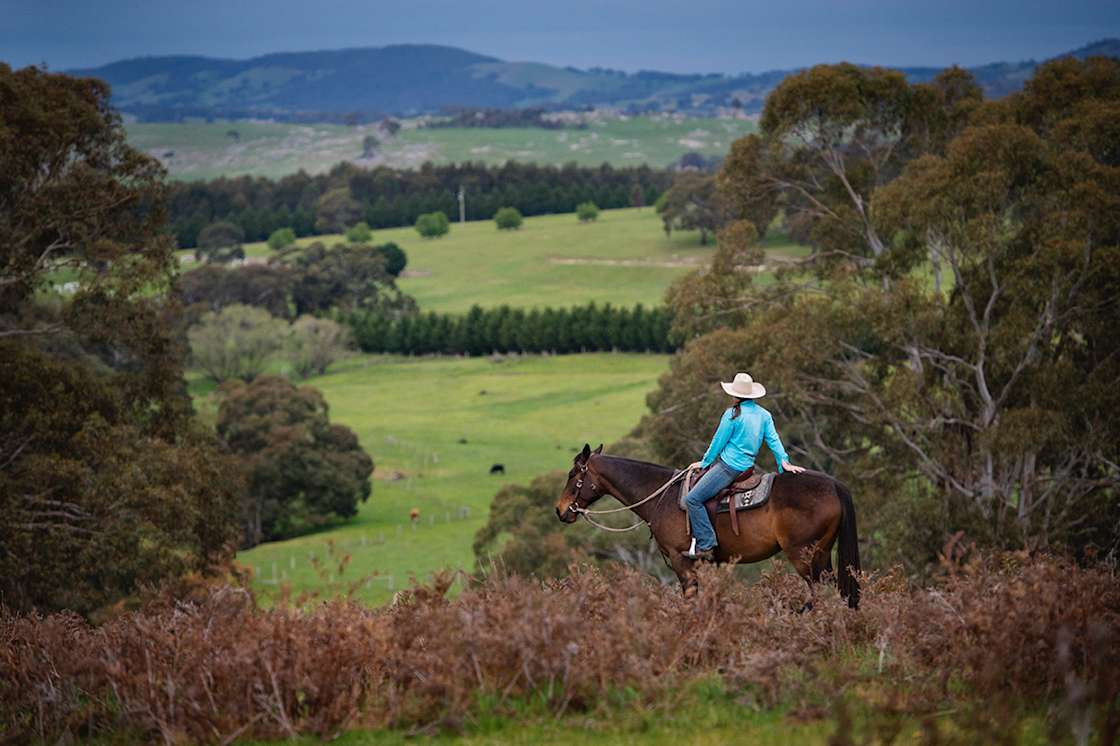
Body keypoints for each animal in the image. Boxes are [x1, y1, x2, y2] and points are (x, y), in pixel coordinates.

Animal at [555, 441, 860, 604]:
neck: (661, 496)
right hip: (822, 554)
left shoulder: (681, 560)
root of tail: (834, 485)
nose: (560, 510)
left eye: (572, 475)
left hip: (804, 555)